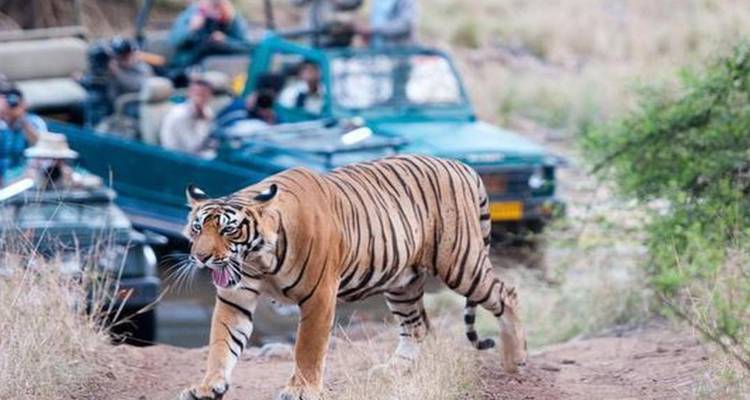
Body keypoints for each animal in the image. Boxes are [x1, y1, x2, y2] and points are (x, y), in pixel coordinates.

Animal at [178, 154, 526, 400]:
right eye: (197, 228)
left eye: (228, 230)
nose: (201, 257)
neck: (259, 258)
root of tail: (462, 165)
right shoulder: (235, 298)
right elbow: (221, 343)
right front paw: (207, 387)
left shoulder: (318, 296)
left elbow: (307, 347)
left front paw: (301, 390)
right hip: (402, 282)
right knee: (416, 326)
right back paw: (393, 371)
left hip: (460, 263)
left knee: (507, 294)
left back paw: (516, 361)